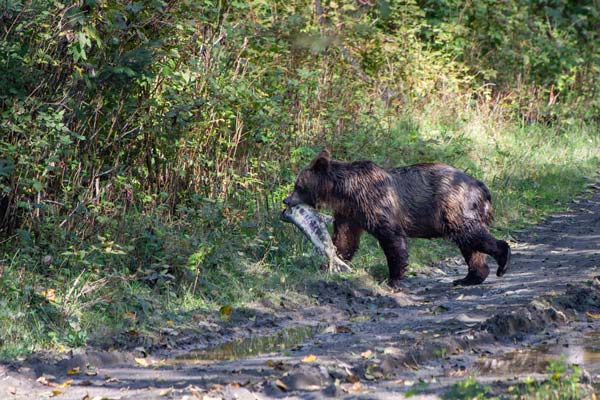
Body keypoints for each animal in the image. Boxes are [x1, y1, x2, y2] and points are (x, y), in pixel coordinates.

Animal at [284, 151, 508, 288]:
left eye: (298, 185)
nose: (286, 200)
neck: (343, 192)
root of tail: (481, 186)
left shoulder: (374, 202)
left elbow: (391, 237)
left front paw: (392, 278)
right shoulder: (350, 213)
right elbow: (345, 239)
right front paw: (330, 263)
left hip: (455, 207)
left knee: (470, 233)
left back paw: (502, 259)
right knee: (468, 243)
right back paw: (469, 278)